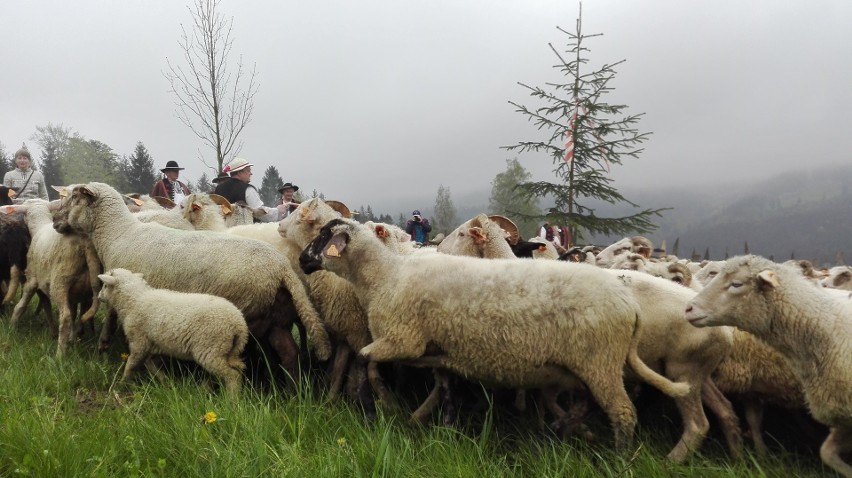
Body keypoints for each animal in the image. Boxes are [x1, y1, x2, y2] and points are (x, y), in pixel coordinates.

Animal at [50, 181, 330, 382]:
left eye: (74, 198)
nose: (54, 221)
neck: (118, 233)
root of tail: (282, 267)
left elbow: (111, 315)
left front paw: (105, 343)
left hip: (249, 315)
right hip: (276, 318)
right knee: (290, 354)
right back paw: (293, 390)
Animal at [99, 268, 250, 396]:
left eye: (105, 286)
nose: (99, 297)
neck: (134, 300)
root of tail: (239, 324)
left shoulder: (139, 341)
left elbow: (131, 363)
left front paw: (122, 383)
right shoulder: (153, 343)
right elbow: (149, 363)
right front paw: (165, 380)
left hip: (211, 348)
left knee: (232, 375)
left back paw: (232, 400)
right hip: (227, 351)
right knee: (232, 371)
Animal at [296, 218, 688, 450]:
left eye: (323, 236)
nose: (301, 260)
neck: (385, 276)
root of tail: (630, 305)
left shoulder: (403, 340)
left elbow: (365, 361)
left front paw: (368, 405)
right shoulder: (442, 354)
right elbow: (447, 393)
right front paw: (446, 433)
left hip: (600, 361)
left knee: (623, 413)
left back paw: (617, 458)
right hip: (590, 367)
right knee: (591, 404)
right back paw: (559, 431)